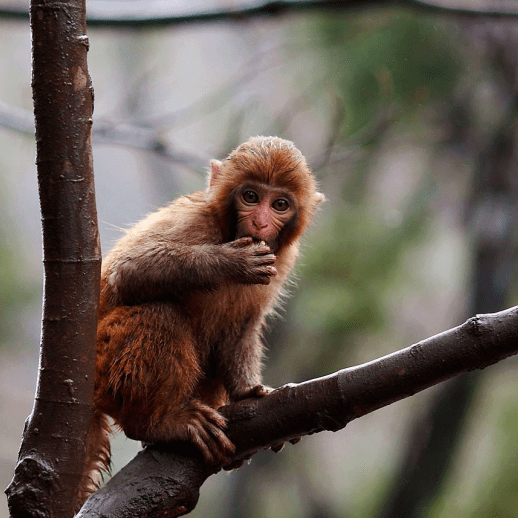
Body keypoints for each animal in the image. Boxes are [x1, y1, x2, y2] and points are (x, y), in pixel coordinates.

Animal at [77, 136, 324, 510]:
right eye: (251, 197)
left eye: (280, 204)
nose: (261, 223)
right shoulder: (194, 222)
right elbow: (126, 272)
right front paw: (228, 262)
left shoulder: (283, 259)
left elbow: (244, 327)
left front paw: (248, 391)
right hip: (103, 361)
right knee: (160, 313)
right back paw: (156, 423)